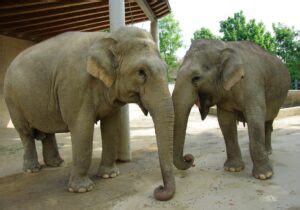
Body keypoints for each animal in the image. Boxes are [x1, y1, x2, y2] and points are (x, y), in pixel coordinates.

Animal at [3, 27, 175, 201]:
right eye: (141, 72)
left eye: (166, 69)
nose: (159, 188)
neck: (108, 37)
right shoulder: (75, 85)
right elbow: (82, 129)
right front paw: (82, 189)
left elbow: (111, 127)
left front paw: (109, 176)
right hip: (12, 99)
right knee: (25, 132)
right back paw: (32, 170)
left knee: (47, 130)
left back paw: (57, 164)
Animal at [173, 39, 290, 180]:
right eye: (174, 78)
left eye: (196, 78)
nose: (189, 158)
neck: (224, 47)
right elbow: (225, 121)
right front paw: (233, 169)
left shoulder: (252, 83)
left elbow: (255, 117)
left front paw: (264, 176)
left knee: (268, 121)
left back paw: (268, 152)